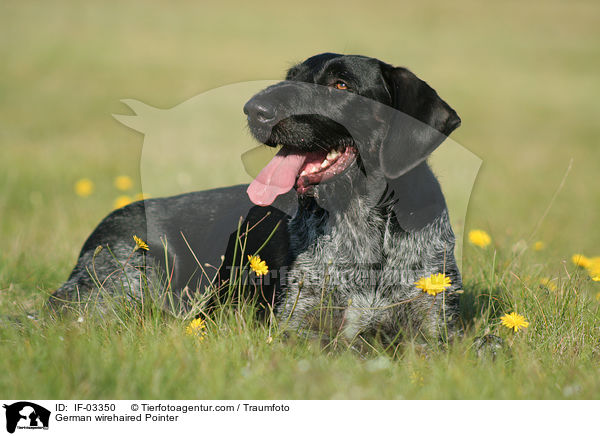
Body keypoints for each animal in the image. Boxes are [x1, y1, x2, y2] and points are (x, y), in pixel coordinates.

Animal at [52, 53, 464, 348]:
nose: (255, 110)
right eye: (291, 77)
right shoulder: (297, 326)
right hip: (122, 284)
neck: (363, 223)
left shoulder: (436, 330)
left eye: (341, 84)